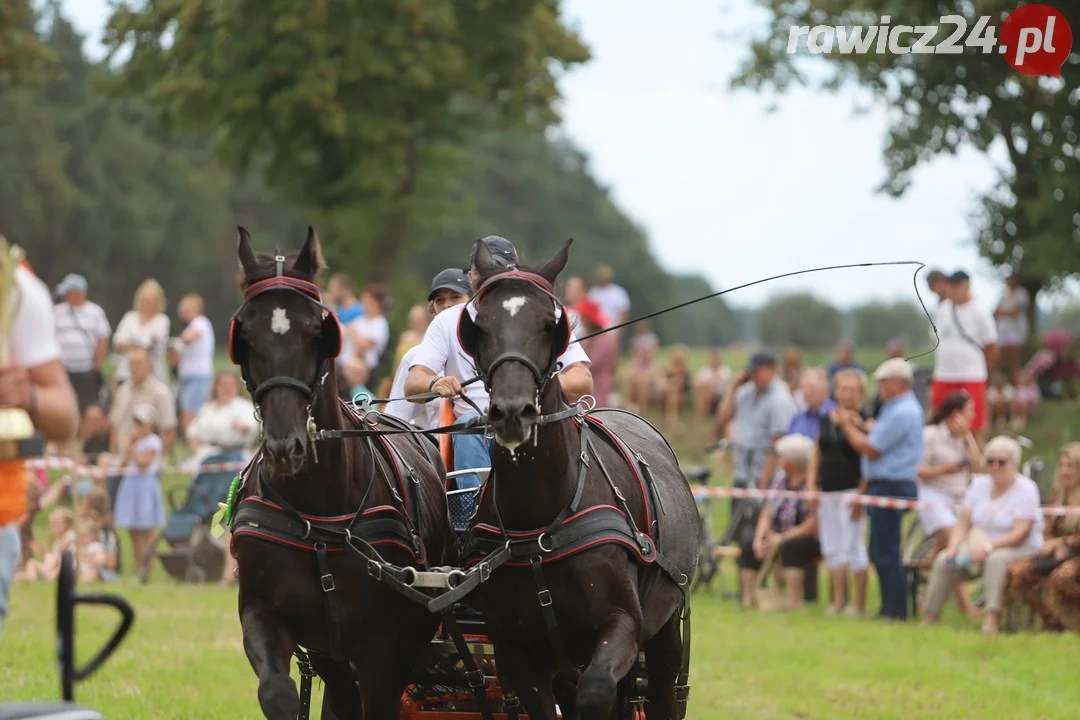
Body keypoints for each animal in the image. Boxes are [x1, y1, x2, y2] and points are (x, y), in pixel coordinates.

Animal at [230, 227, 449, 716]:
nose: (285, 445)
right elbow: (277, 693)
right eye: (245, 335)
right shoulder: (264, 614)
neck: (320, 516)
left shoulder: (382, 648)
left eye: (317, 333)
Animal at [457, 241, 699, 720]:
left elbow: (597, 691)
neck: (542, 520)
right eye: (479, 325)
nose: (512, 411)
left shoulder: (622, 624)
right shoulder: (515, 650)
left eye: (551, 324)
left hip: (664, 626)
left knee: (661, 690)